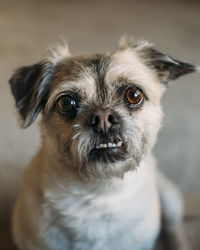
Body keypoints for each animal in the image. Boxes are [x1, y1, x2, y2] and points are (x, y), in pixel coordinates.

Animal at [9, 37, 195, 250]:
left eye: (134, 95)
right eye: (66, 103)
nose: (103, 118)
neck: (100, 194)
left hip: (169, 200)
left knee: (174, 229)